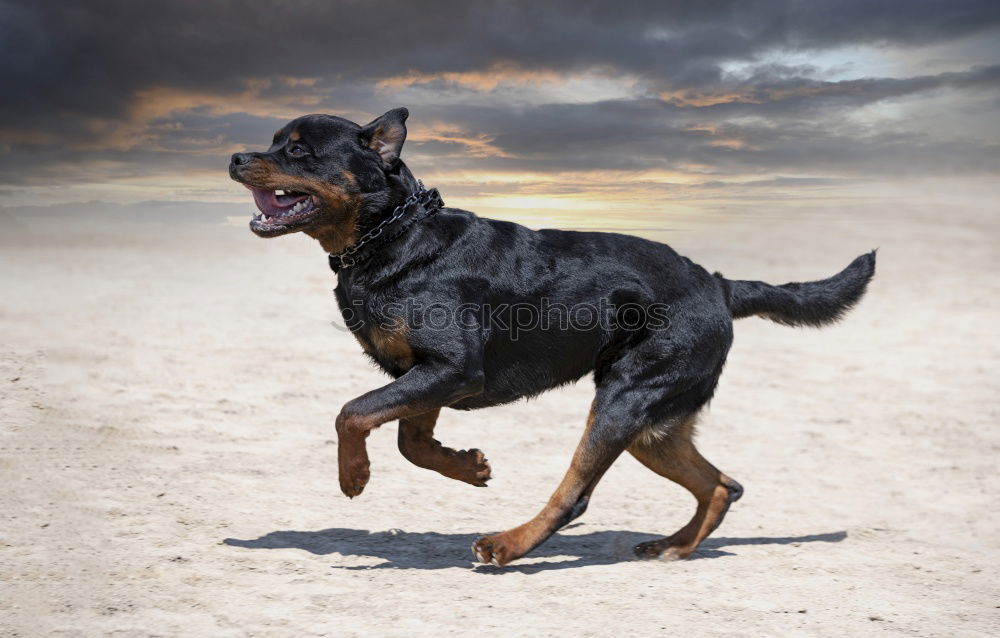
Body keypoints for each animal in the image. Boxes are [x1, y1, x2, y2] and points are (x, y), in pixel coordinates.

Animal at [229, 107, 876, 568]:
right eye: (274, 140)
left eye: (298, 150)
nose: (236, 156)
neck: (393, 235)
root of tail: (718, 284)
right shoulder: (427, 374)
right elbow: (410, 440)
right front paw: (470, 467)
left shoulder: (453, 369)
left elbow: (353, 412)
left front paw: (354, 475)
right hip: (655, 424)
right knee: (722, 484)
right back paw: (675, 545)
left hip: (624, 400)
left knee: (578, 493)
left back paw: (508, 545)